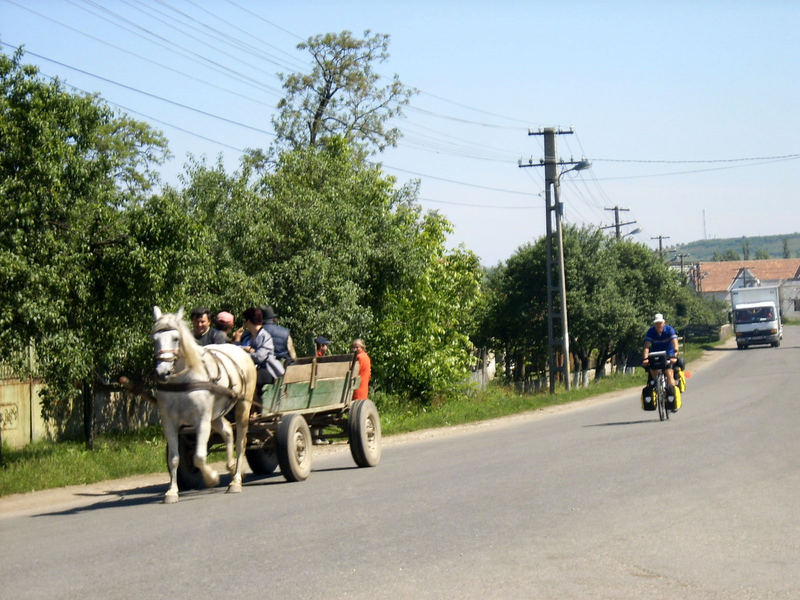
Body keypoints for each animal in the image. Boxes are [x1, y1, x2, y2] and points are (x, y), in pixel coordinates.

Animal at [151, 308, 256, 504]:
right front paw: (171, 492)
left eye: (176, 338)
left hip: (242, 407)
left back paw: (236, 480)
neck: (184, 381)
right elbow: (174, 459)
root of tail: (239, 350)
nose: (162, 372)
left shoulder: (201, 420)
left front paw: (212, 478)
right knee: (228, 431)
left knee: (241, 442)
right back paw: (231, 466)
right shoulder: (169, 423)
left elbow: (199, 457)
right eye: (154, 339)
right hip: (216, 414)